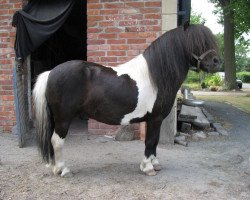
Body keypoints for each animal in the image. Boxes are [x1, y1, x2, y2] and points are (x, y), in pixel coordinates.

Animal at [33, 23, 221, 177]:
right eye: (196, 41)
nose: (216, 62)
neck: (156, 77)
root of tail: (51, 72)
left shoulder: (155, 120)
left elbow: (154, 142)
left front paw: (155, 164)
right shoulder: (155, 118)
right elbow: (150, 141)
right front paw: (148, 168)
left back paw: (55, 168)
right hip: (64, 118)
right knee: (57, 141)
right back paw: (63, 170)